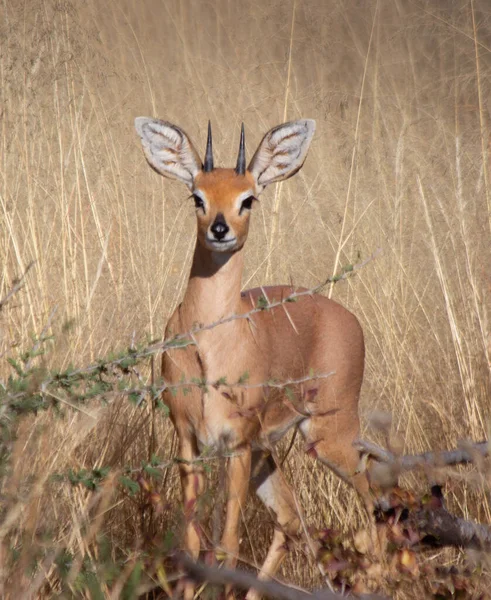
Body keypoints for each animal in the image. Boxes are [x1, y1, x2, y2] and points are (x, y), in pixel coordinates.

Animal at [135, 117, 372, 596]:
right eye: (198, 195)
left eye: (248, 198)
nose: (219, 229)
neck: (211, 346)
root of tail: (345, 315)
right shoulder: (188, 440)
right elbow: (193, 543)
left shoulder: (238, 445)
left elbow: (227, 543)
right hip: (271, 451)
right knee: (291, 518)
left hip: (329, 436)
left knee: (378, 497)